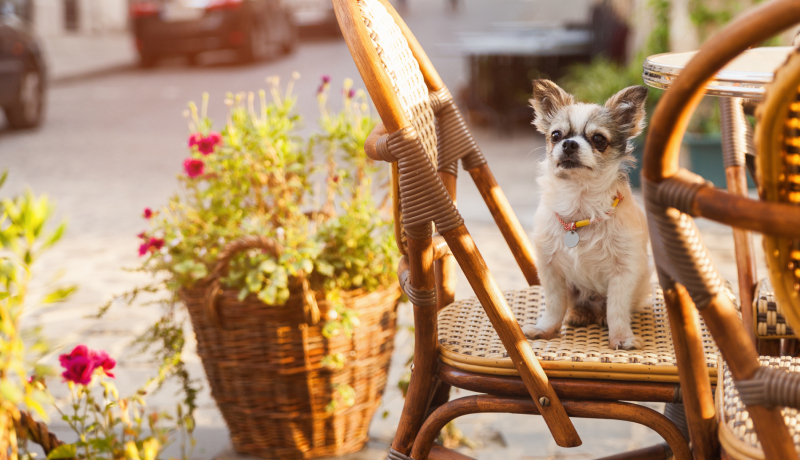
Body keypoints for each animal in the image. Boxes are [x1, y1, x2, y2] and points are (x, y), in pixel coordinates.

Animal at [520, 81, 652, 350]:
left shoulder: (623, 273)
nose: (569, 144)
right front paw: (545, 329)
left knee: (609, 309)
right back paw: (578, 314)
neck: (580, 205)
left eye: (599, 139)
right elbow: (554, 304)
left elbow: (617, 309)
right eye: (556, 135)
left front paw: (621, 338)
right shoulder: (550, 270)